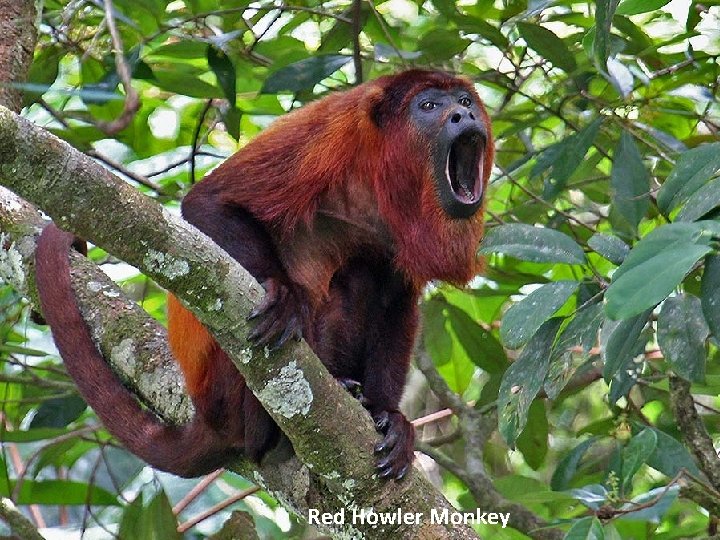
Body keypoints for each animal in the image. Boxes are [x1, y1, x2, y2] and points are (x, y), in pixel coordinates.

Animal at [35, 68, 496, 480]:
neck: (379, 174)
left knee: (365, 274)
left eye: (465, 101)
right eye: (429, 106)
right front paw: (287, 299)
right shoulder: (327, 134)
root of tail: (208, 416)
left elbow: (396, 303)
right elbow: (209, 202)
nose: (464, 115)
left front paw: (391, 417)